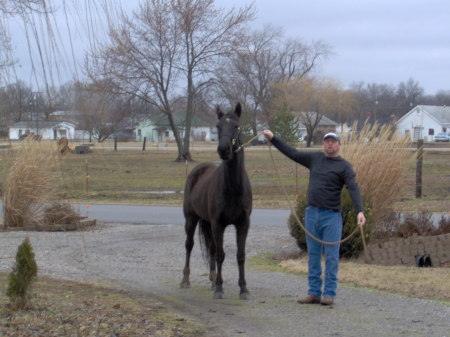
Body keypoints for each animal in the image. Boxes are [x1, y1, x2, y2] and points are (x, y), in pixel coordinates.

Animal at [180, 102, 253, 300]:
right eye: (218, 127)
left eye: (236, 126)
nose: (223, 150)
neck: (233, 187)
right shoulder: (218, 224)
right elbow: (221, 254)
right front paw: (220, 289)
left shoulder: (243, 224)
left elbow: (240, 255)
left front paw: (243, 289)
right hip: (191, 219)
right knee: (189, 245)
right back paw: (186, 280)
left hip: (207, 222)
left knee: (211, 248)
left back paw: (212, 279)